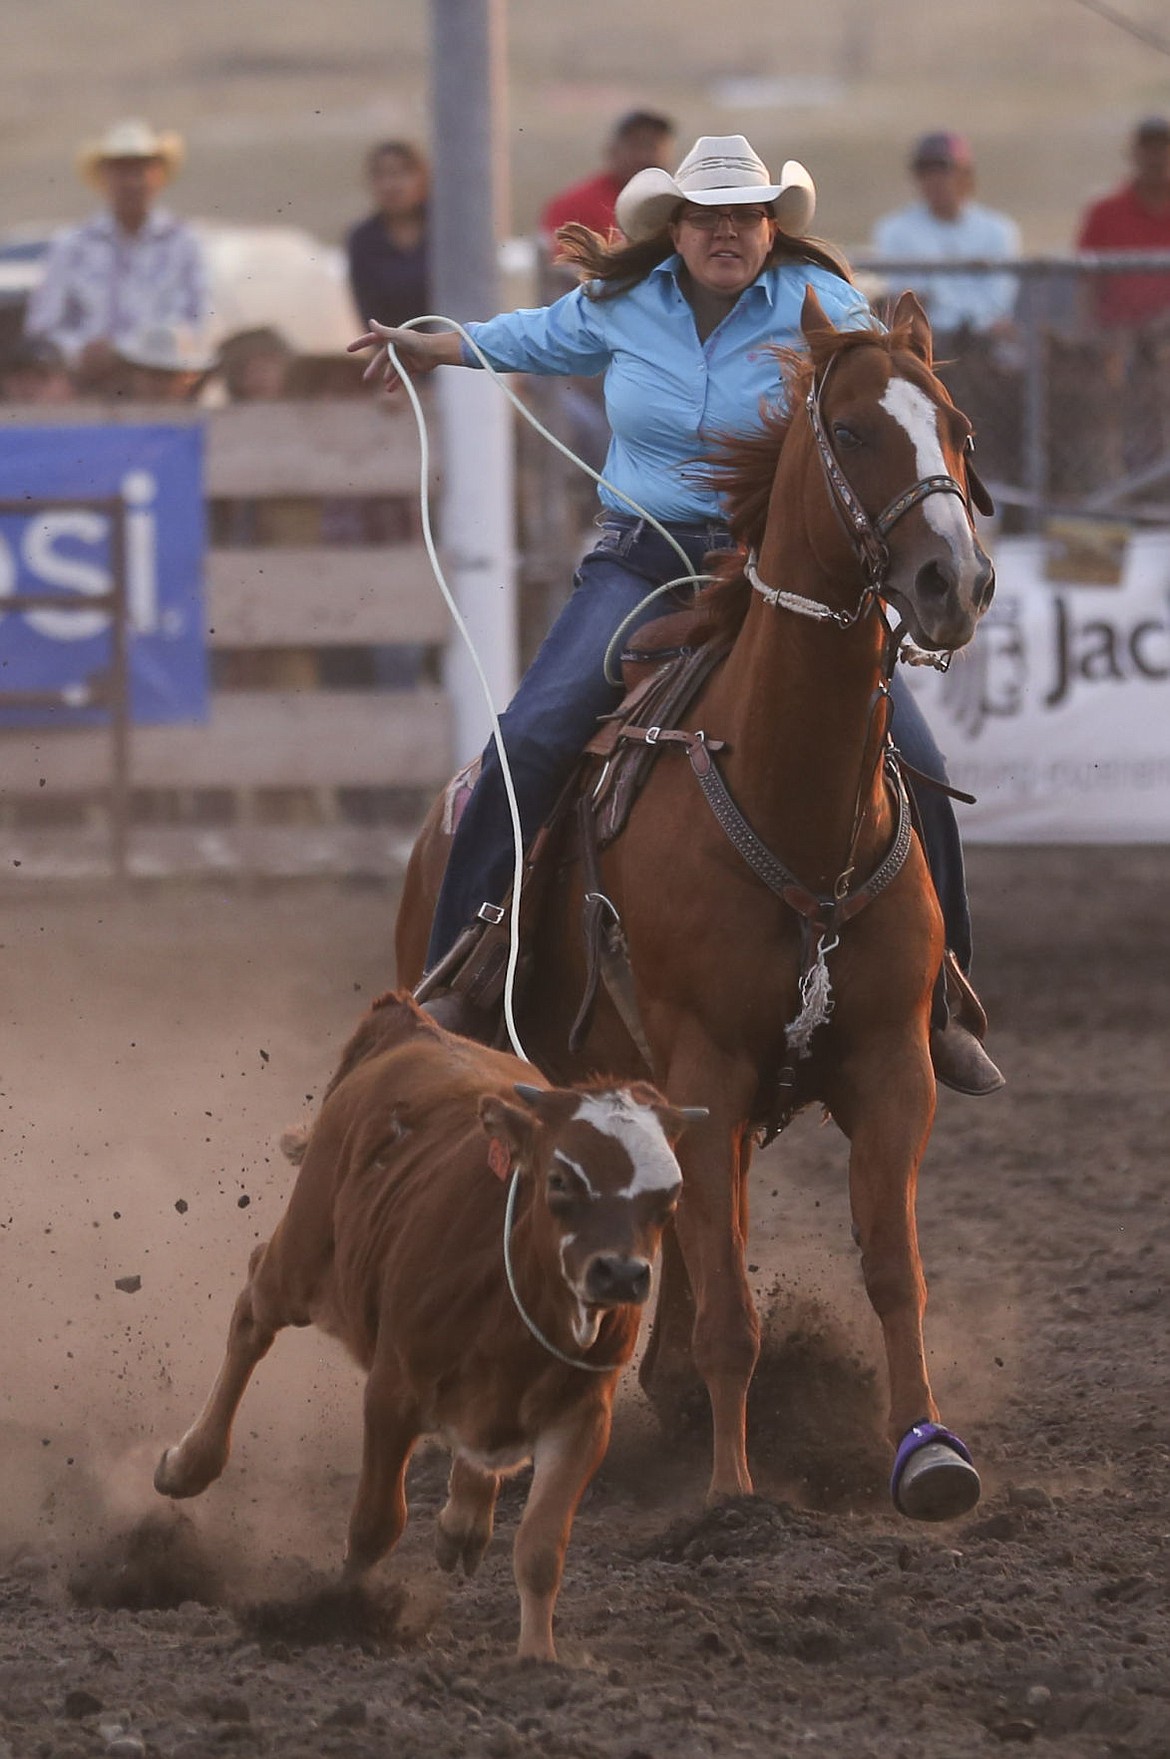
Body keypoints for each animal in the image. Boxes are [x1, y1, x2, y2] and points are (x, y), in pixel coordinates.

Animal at [156, 999, 703, 1653]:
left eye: (668, 1198)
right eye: (561, 1180)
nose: (620, 1273)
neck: (516, 1311)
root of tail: (413, 1025)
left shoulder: (585, 1418)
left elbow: (541, 1550)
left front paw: (539, 1658)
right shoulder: (392, 1392)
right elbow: (375, 1524)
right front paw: (343, 1610)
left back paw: (466, 1516)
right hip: (306, 1255)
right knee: (253, 1308)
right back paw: (190, 1462)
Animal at [397, 284, 992, 1512]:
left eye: (958, 427)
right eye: (853, 429)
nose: (954, 583)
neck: (791, 797)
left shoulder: (890, 1066)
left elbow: (892, 1270)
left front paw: (930, 1453)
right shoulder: (708, 1067)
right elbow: (728, 1305)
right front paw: (730, 1491)